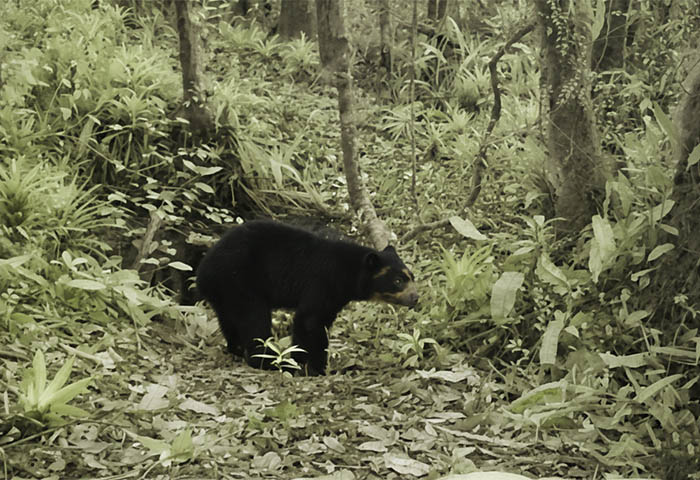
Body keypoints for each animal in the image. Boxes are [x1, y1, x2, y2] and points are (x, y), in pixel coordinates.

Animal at [196, 219, 418, 375]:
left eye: (412, 277)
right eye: (398, 280)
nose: (415, 297)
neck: (348, 273)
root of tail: (203, 272)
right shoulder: (322, 282)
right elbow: (310, 321)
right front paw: (313, 366)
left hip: (225, 292)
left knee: (229, 320)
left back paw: (236, 348)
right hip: (240, 281)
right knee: (254, 320)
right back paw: (268, 361)